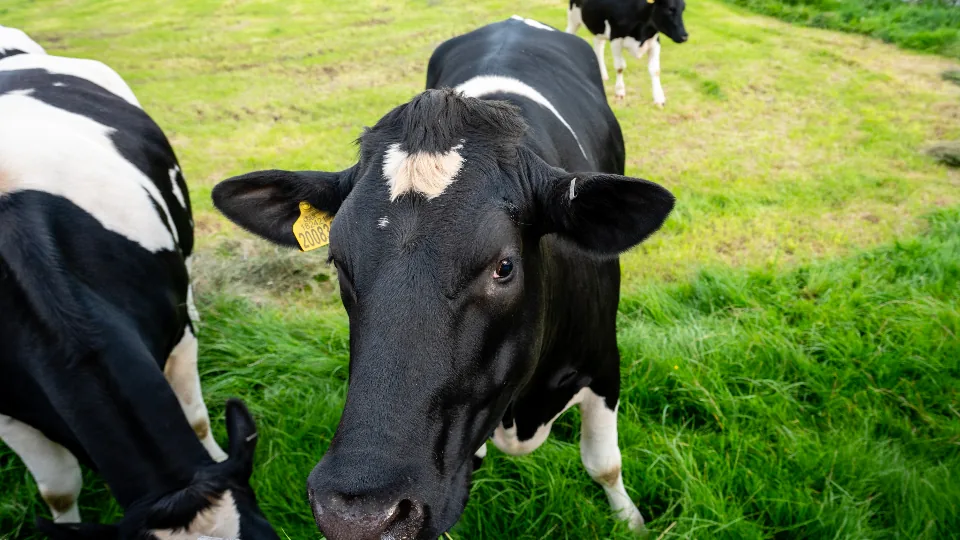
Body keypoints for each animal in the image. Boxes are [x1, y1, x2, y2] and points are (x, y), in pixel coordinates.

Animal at [0, 29, 278, 539]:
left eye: (266, 535)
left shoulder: (177, 335)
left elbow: (196, 418)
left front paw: (212, 453)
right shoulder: (8, 411)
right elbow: (58, 489)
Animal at [212, 16, 674, 539]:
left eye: (504, 266)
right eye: (338, 262)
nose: (358, 516)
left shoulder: (603, 362)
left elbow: (604, 464)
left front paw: (631, 521)